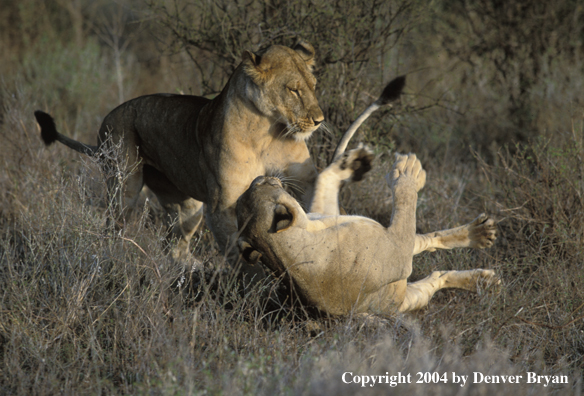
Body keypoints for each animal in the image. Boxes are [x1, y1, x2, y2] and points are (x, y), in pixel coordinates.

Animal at [236, 148, 498, 316]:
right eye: (266, 184)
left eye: (257, 185)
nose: (262, 176)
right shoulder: (396, 251)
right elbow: (406, 203)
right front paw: (407, 172)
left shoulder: (323, 213)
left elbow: (323, 179)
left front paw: (351, 162)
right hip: (403, 292)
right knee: (435, 273)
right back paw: (482, 266)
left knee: (432, 257)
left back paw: (480, 250)